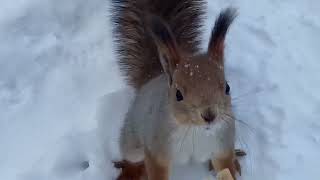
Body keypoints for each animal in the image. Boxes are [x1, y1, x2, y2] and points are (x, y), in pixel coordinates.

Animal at [111, 0, 244, 180]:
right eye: (178, 94)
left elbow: (225, 166)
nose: (209, 115)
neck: (196, 131)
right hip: (132, 142)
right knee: (132, 157)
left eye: (227, 87)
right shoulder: (157, 149)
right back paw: (131, 172)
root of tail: (152, 79)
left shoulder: (223, 144)